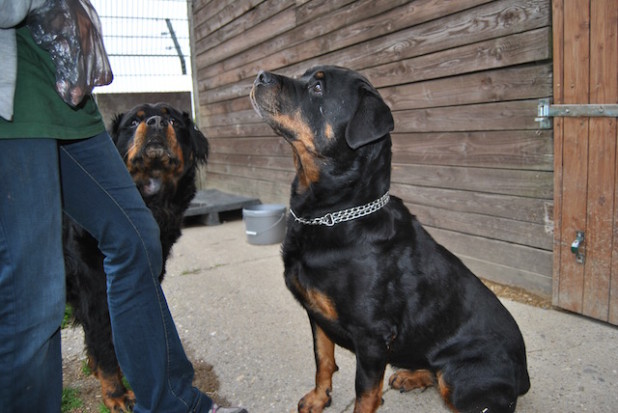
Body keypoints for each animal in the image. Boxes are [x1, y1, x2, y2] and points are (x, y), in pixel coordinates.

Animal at [62, 101, 208, 410]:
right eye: (133, 122)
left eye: (173, 121)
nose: (156, 123)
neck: (149, 202)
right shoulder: (95, 292)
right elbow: (105, 346)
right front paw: (115, 393)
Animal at [250, 67, 528, 412]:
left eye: (316, 87)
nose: (260, 76)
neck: (334, 212)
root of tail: (523, 373)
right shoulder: (316, 314)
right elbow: (322, 358)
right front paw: (318, 397)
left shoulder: (371, 336)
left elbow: (365, 393)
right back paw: (412, 375)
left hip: (464, 380)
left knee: (450, 383)